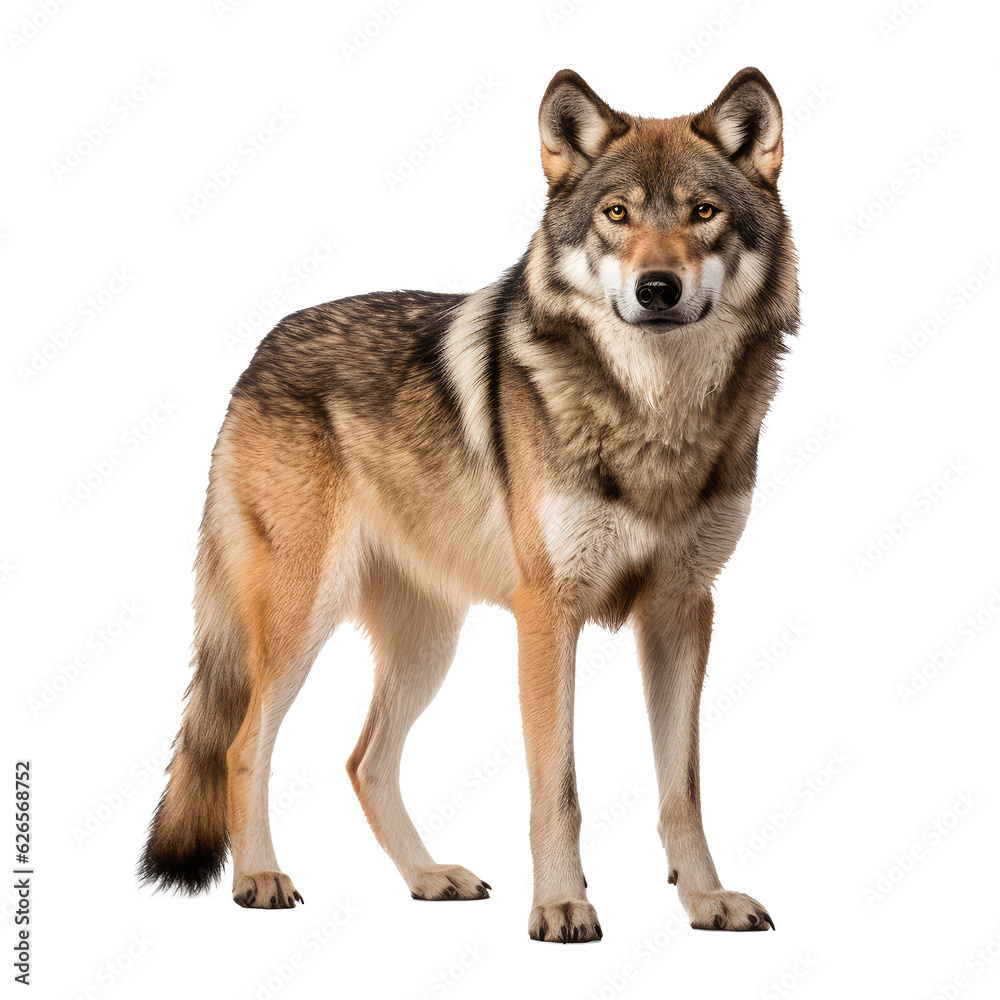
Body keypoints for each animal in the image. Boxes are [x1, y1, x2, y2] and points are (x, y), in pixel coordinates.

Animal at [140, 67, 799, 942]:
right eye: (616, 215)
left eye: (703, 213)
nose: (657, 289)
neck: (654, 418)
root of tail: (260, 350)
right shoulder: (548, 613)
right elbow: (558, 790)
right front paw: (561, 905)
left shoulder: (683, 609)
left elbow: (681, 790)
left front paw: (705, 899)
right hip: (301, 619)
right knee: (242, 746)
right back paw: (260, 878)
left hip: (429, 644)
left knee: (364, 760)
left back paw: (428, 878)